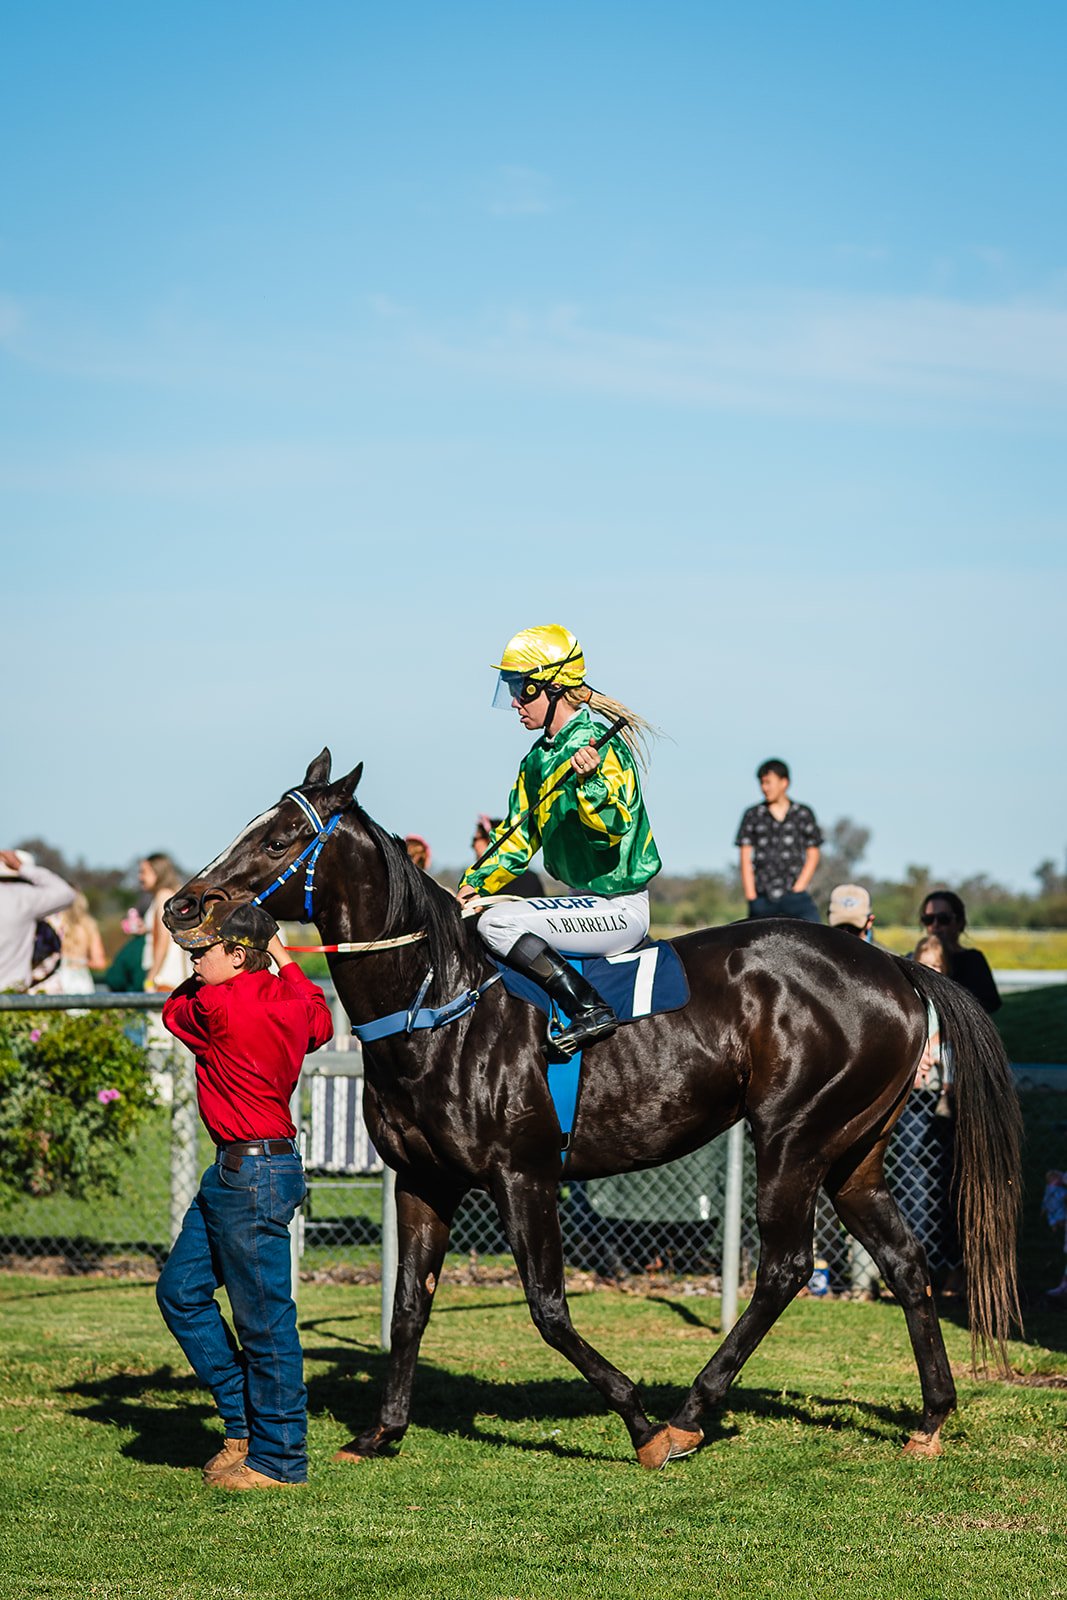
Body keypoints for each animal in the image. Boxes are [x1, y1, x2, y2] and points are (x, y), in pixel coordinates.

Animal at [164, 749, 1022, 1469]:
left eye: (281, 837)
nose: (183, 905)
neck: (437, 1007)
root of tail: (893, 965)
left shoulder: (524, 1176)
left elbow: (547, 1309)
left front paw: (637, 1422)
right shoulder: (422, 1180)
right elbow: (408, 1307)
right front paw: (382, 1431)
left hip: (792, 1138)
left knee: (782, 1268)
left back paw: (689, 1415)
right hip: (853, 1152)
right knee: (904, 1262)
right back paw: (930, 1416)